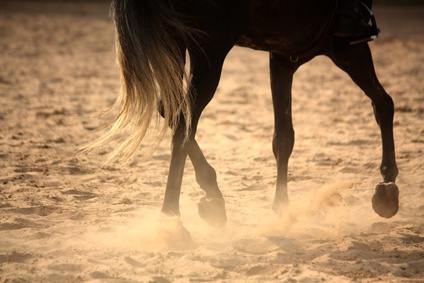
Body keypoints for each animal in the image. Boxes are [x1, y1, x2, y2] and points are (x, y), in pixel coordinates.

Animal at [94, 0, 400, 226]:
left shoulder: (283, 56)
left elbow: (283, 137)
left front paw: (282, 207)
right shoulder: (348, 48)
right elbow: (384, 104)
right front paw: (388, 184)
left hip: (175, 43)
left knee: (170, 111)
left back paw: (212, 196)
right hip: (210, 49)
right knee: (184, 121)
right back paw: (171, 217)